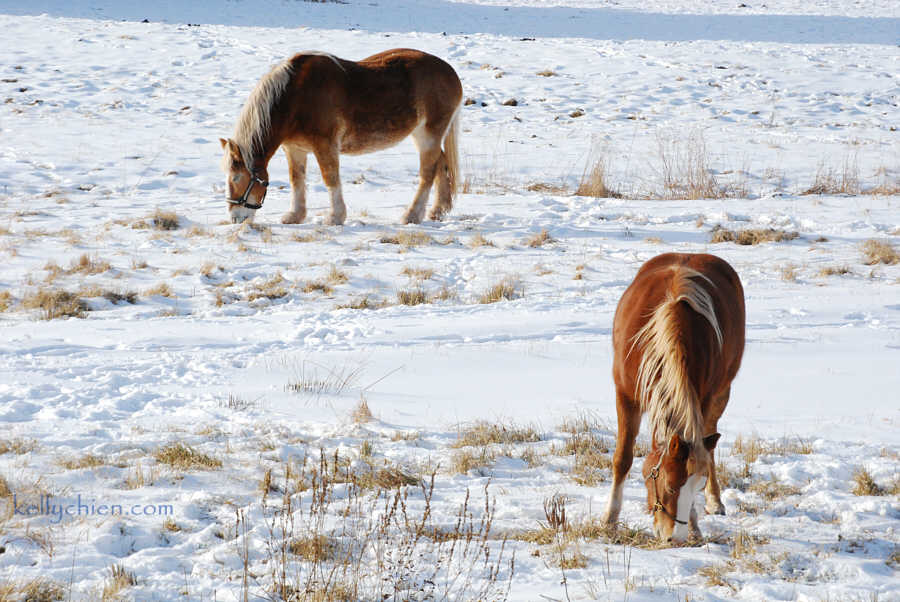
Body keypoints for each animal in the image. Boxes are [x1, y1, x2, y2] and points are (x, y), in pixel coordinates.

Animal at [216, 48, 458, 225]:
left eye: (236, 178)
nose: (235, 218)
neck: (295, 98)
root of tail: (450, 72)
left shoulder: (325, 145)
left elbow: (330, 178)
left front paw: (335, 217)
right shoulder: (295, 149)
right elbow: (297, 179)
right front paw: (295, 215)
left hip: (428, 135)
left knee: (427, 173)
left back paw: (412, 215)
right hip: (422, 136)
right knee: (441, 163)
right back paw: (438, 211)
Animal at [604, 251, 744, 540]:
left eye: (695, 486)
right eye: (669, 486)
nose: (674, 537)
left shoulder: (703, 399)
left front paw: (694, 526)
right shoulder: (625, 395)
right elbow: (622, 458)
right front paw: (610, 519)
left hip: (721, 394)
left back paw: (715, 500)